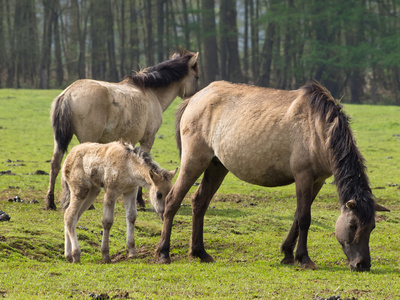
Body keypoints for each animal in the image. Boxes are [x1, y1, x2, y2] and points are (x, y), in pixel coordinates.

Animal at [45, 50, 198, 211]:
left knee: (55, 164)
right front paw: (140, 201)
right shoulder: (148, 139)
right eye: (196, 77)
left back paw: (51, 202)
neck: (150, 92)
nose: (194, 97)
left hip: (59, 140)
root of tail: (68, 93)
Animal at [157, 80, 390, 272]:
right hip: (193, 161)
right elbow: (304, 217)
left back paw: (200, 252)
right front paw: (304, 258)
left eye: (372, 227)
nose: (362, 265)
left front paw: (287, 254)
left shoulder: (317, 181)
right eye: (352, 226)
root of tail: (195, 98)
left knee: (200, 202)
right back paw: (163, 253)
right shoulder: (303, 177)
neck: (318, 128)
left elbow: (297, 216)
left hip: (217, 166)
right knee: (173, 200)